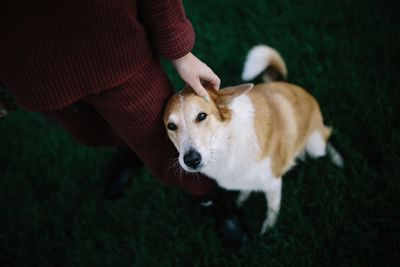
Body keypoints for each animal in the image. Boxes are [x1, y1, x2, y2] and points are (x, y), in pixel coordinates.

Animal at [163, 45, 344, 233]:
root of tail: (288, 82)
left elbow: (272, 209)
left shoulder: (273, 183)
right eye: (171, 126)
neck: (226, 144)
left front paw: (268, 231)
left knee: (327, 136)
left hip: (316, 145)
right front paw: (240, 202)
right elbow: (245, 190)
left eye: (201, 116)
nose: (191, 159)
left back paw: (338, 159)